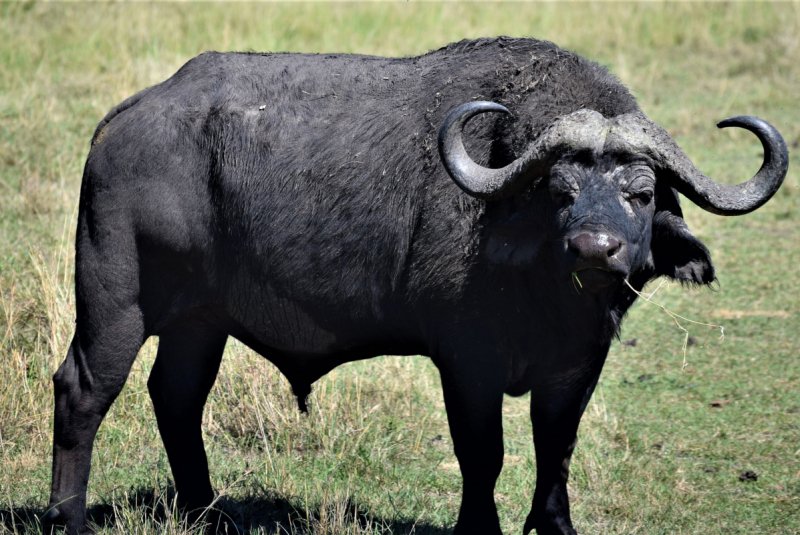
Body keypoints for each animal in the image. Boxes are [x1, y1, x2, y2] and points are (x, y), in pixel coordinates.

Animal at [44, 37, 788, 535]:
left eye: (640, 192)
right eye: (559, 189)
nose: (593, 248)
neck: (546, 295)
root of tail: (123, 120)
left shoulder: (579, 363)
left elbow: (557, 447)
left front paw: (553, 526)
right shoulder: (467, 360)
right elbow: (483, 452)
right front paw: (478, 529)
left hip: (199, 321)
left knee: (176, 398)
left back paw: (208, 511)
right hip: (116, 298)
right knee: (83, 388)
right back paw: (68, 517)